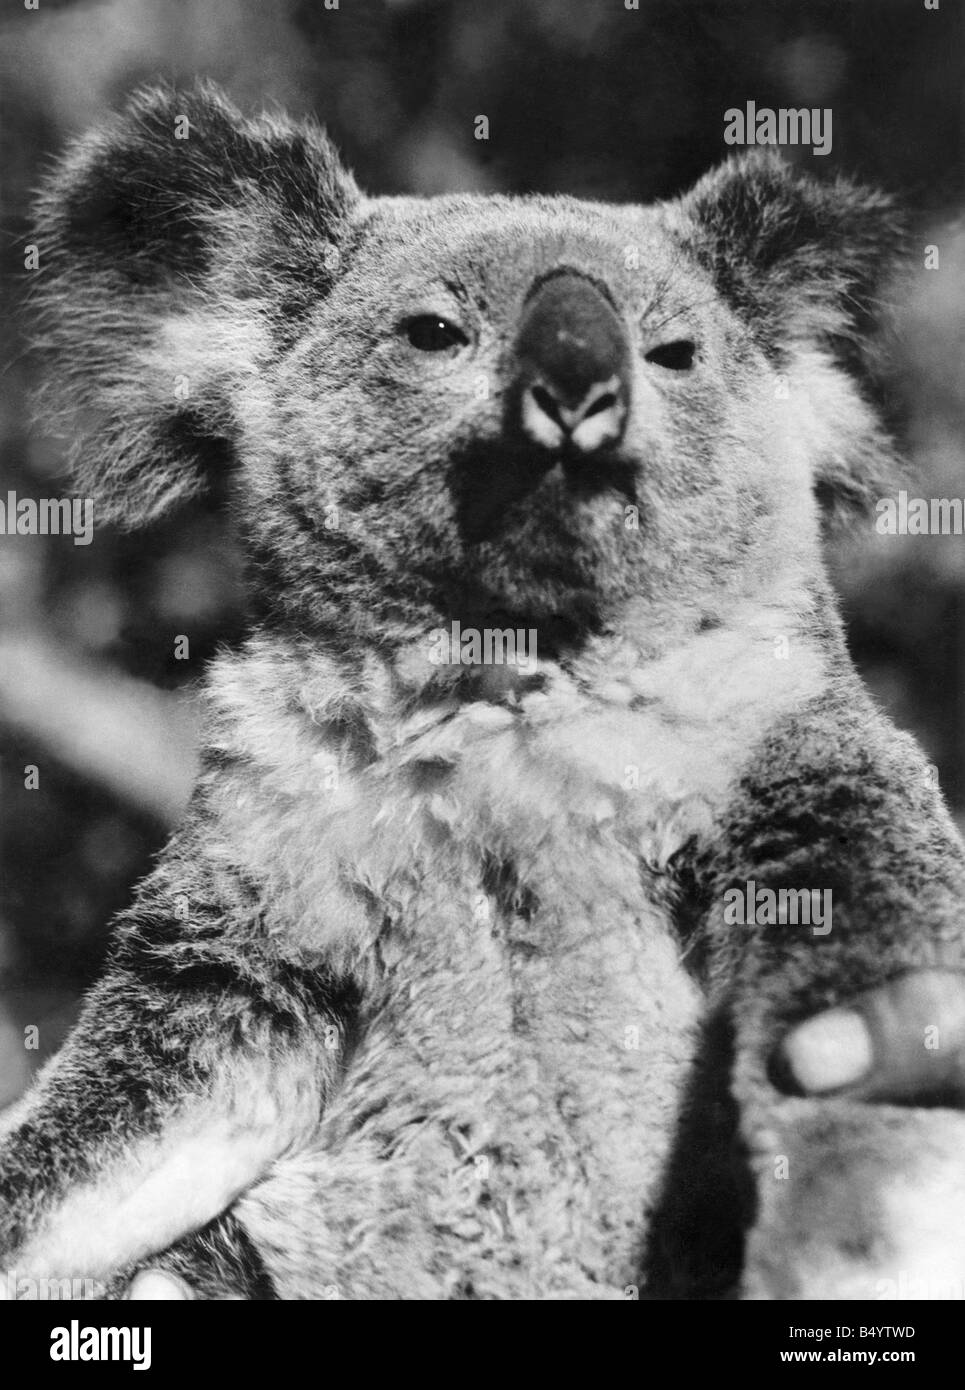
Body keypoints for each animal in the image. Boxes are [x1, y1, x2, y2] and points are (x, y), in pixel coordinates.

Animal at [1, 81, 964, 1301]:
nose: (577, 388)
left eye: (674, 351)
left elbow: (849, 994)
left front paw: (855, 1246)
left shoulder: (786, 756)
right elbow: (122, 1121)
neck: (512, 687)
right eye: (434, 333)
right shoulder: (255, 908)